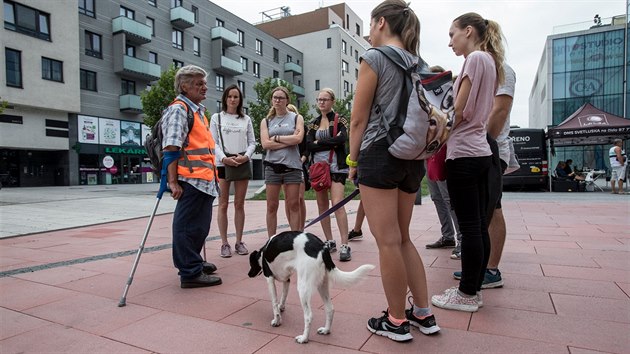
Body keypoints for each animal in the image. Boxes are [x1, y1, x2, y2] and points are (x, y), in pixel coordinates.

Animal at [248, 230, 376, 342]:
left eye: (251, 264)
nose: (248, 275)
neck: (263, 252)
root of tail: (322, 247)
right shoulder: (287, 280)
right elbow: (283, 297)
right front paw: (281, 307)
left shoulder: (269, 279)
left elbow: (274, 303)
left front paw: (277, 320)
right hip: (322, 285)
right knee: (330, 309)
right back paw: (326, 330)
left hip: (303, 288)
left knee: (309, 316)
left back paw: (304, 338)